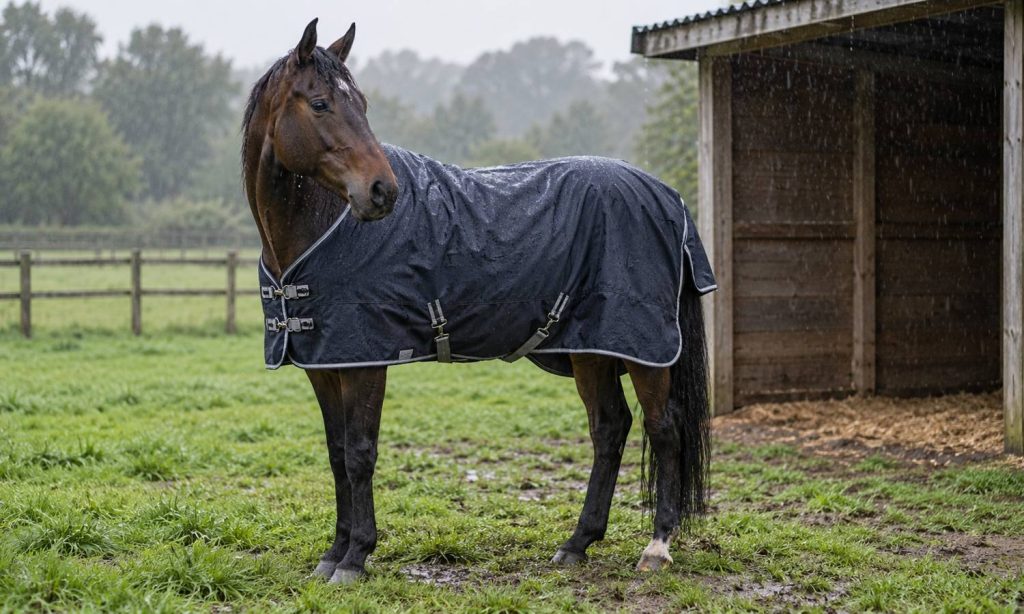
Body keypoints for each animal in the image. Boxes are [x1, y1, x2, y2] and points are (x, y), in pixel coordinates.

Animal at [241, 18, 713, 584]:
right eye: (319, 104)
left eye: (362, 104)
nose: (382, 192)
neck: (322, 227)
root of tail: (667, 196)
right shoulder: (324, 364)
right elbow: (336, 455)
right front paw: (332, 555)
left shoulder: (366, 363)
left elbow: (359, 454)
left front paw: (356, 558)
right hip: (591, 350)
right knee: (609, 428)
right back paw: (577, 543)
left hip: (643, 351)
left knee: (664, 429)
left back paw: (657, 547)